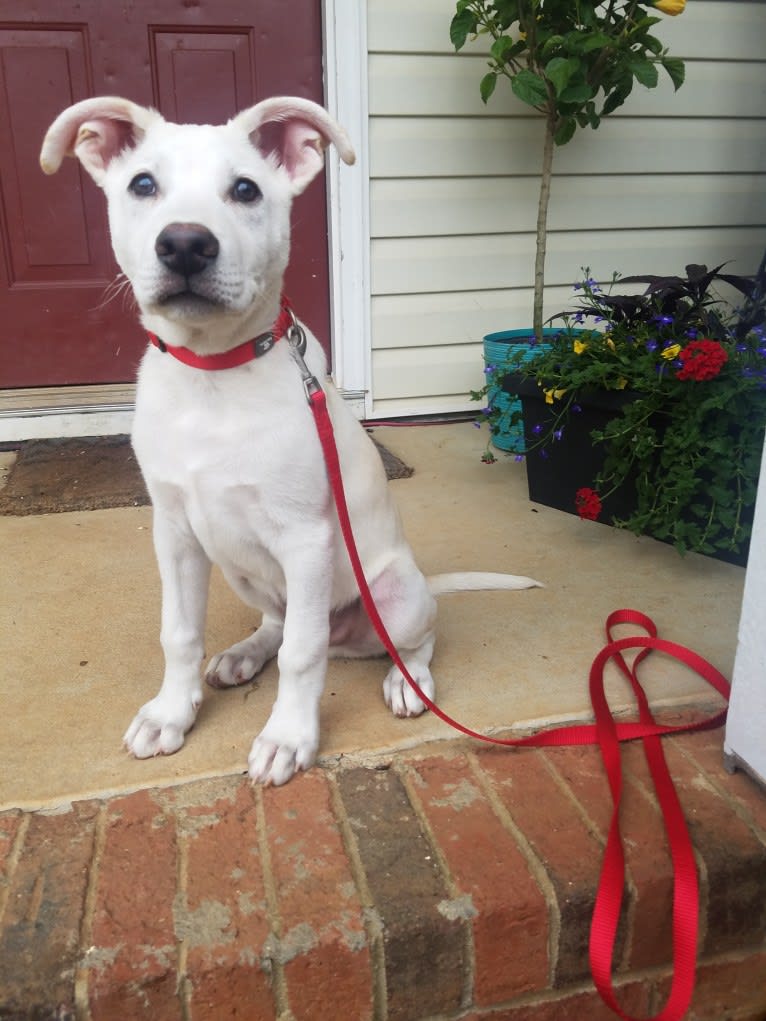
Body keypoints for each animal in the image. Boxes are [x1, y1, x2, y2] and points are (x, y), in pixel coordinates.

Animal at [37, 97, 539, 780]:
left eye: (246, 189)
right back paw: (245, 654)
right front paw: (171, 712)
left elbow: (303, 654)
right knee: (278, 623)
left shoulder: (307, 540)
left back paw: (408, 683)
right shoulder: (175, 533)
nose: (186, 244)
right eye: (142, 184)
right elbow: (180, 632)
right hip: (240, 568)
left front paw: (288, 736)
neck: (213, 376)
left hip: (396, 596)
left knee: (409, 640)